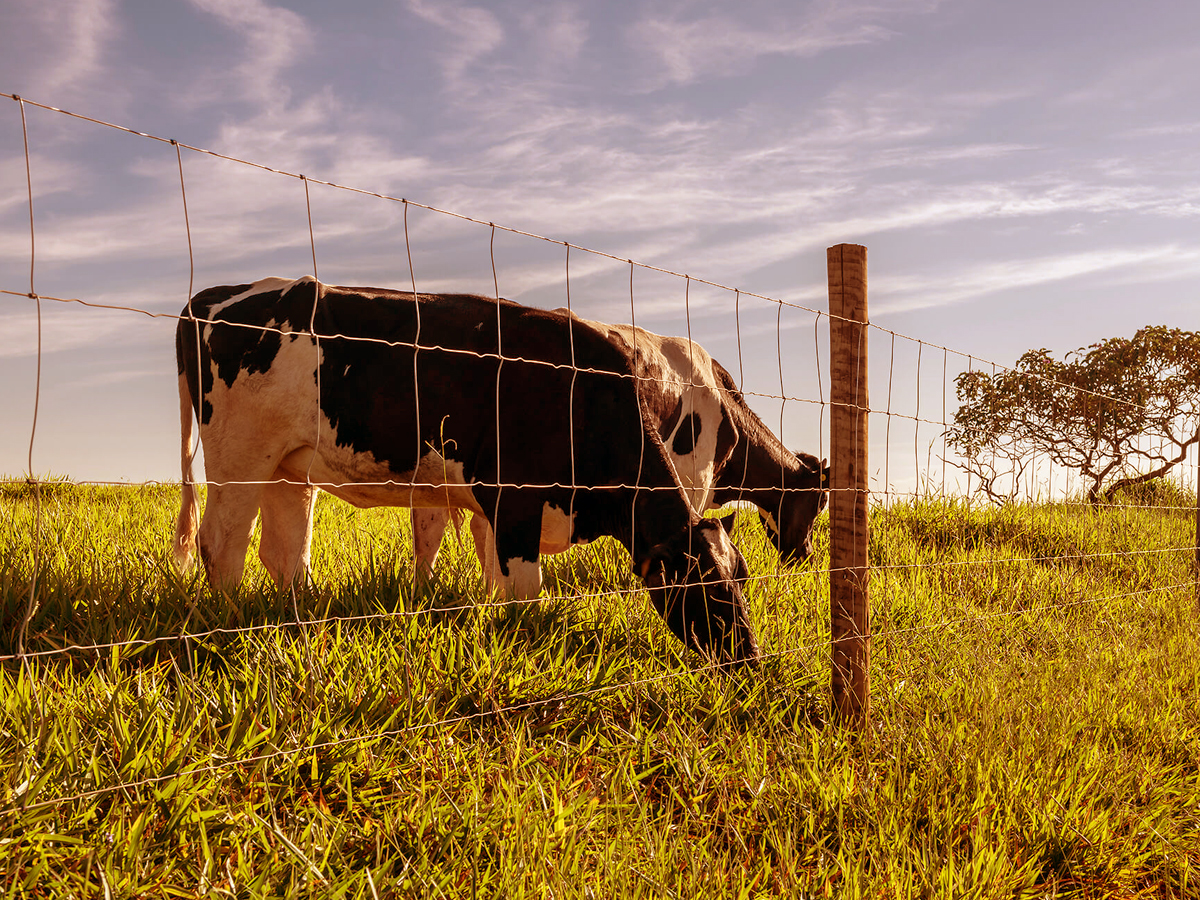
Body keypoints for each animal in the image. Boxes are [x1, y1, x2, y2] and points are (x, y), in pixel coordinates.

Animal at [172, 278, 758, 667]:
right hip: (241, 457)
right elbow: (524, 591)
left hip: (288, 467)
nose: (749, 657)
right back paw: (226, 622)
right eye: (704, 583)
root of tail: (216, 295)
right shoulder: (514, 502)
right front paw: (527, 642)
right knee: (221, 543)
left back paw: (301, 620)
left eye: (743, 575)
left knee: (284, 549)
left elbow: (497, 580)